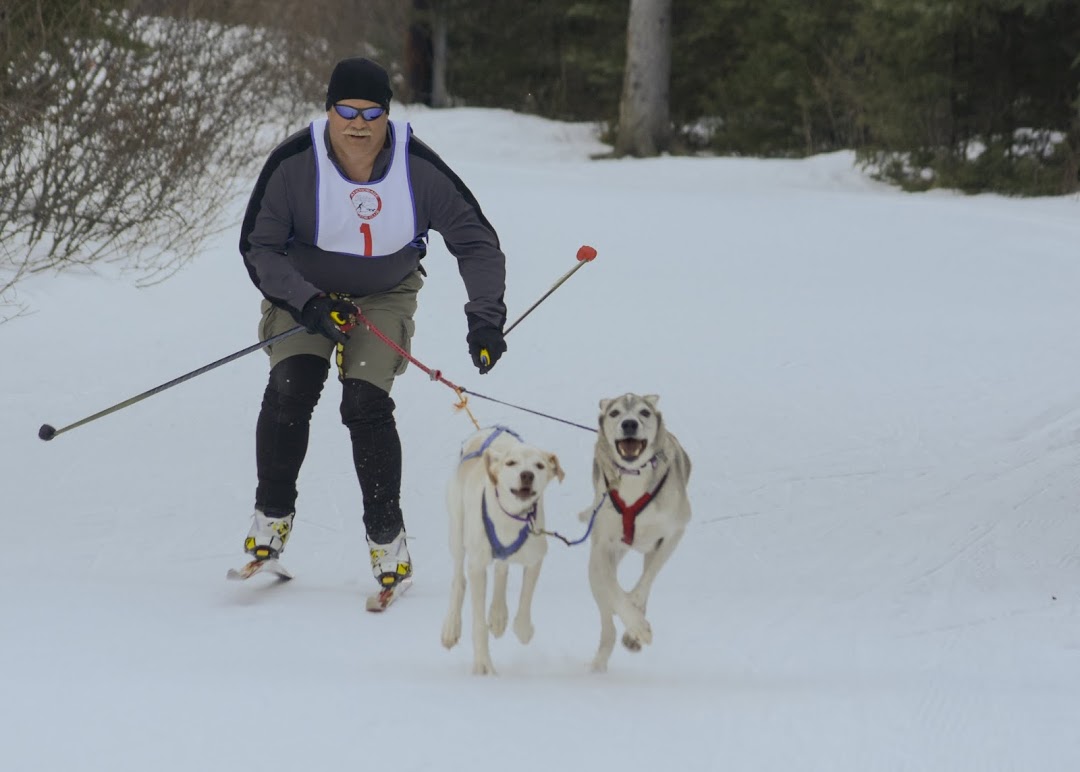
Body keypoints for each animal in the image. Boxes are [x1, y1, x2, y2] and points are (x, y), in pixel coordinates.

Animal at [438, 425, 565, 673]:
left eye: (539, 465)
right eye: (511, 463)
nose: (527, 475)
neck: (510, 518)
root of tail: (489, 429)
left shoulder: (535, 557)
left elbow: (525, 597)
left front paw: (522, 628)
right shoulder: (477, 566)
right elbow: (478, 622)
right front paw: (483, 665)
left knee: (501, 570)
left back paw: (498, 614)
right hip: (457, 532)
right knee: (459, 579)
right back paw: (451, 627)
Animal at [583, 393, 691, 669]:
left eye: (644, 412)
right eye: (615, 413)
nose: (629, 423)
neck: (633, 477)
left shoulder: (674, 532)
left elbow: (645, 581)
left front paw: (635, 622)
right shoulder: (602, 547)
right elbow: (614, 591)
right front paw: (637, 626)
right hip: (595, 569)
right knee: (607, 621)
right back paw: (600, 662)